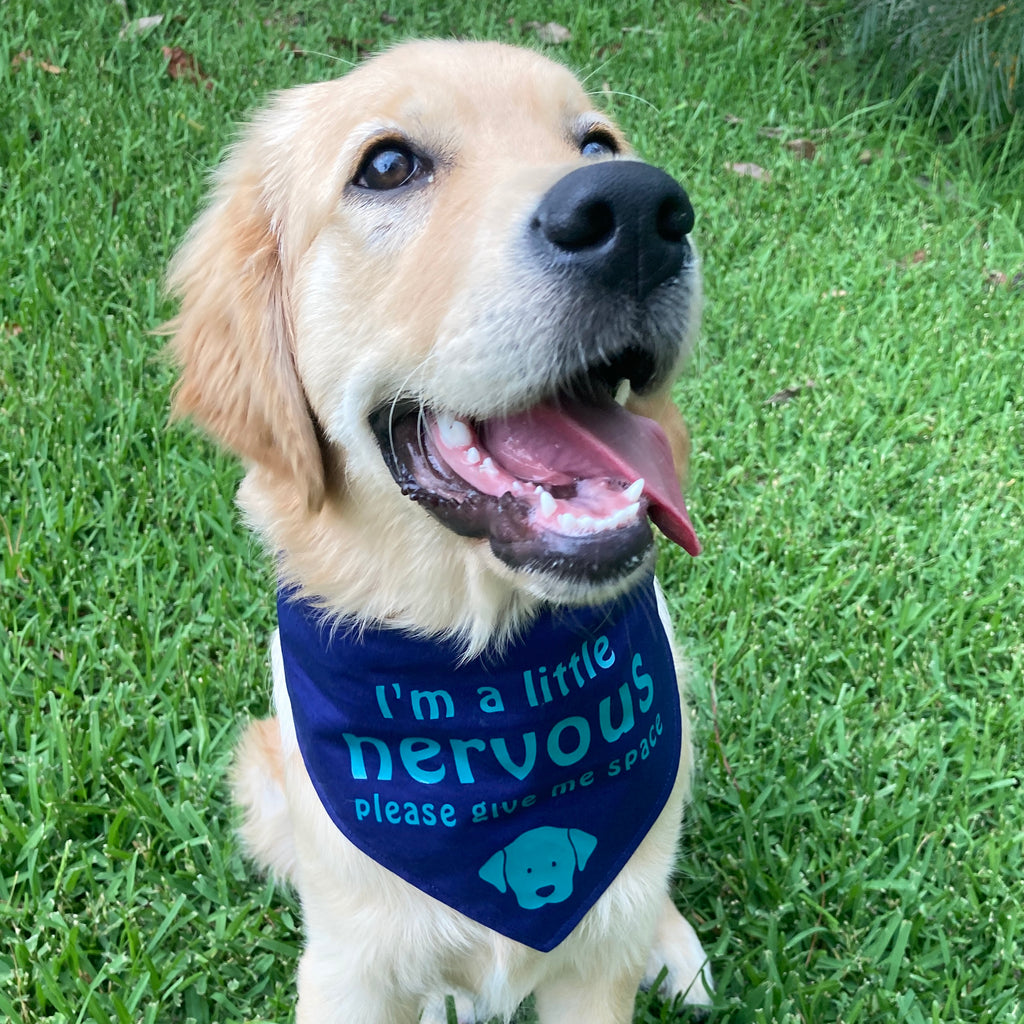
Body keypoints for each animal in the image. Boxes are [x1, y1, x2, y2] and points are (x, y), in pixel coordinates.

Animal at [167, 36, 712, 1019]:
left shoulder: (590, 976)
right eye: (386, 166)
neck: (481, 674)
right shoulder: (348, 966)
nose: (640, 211)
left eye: (596, 143)